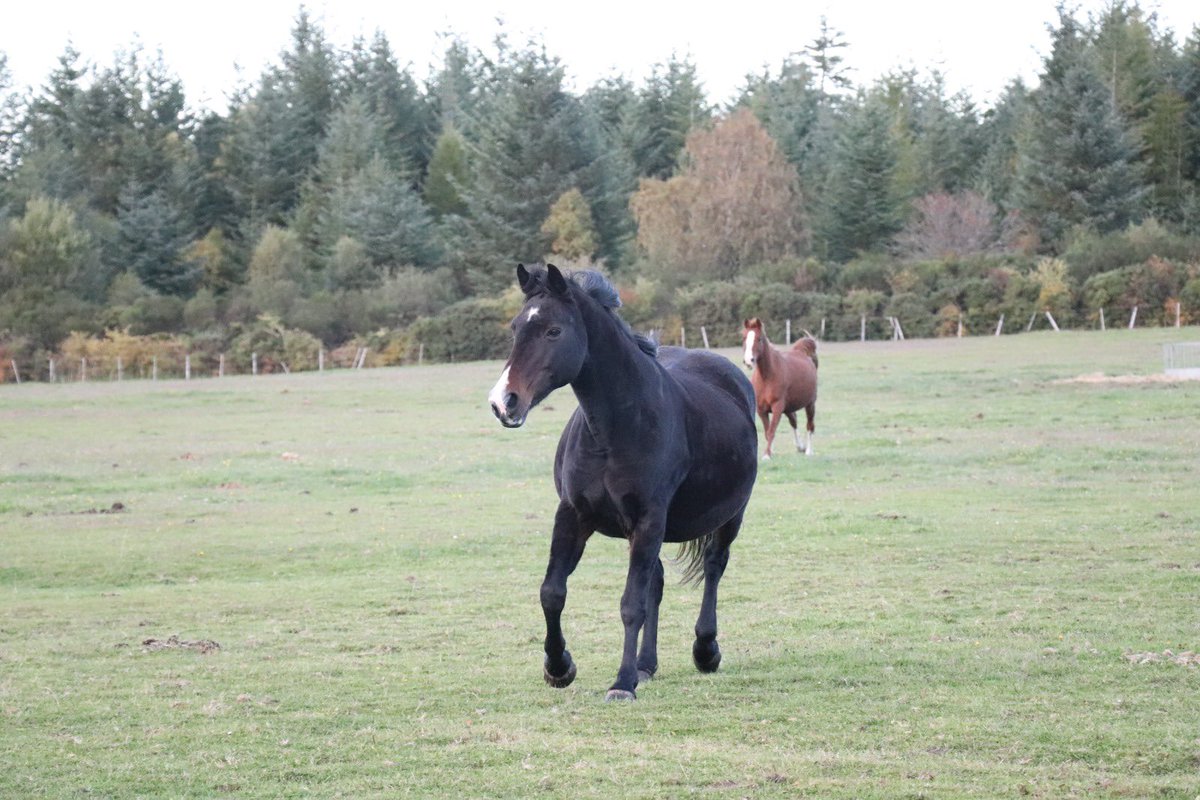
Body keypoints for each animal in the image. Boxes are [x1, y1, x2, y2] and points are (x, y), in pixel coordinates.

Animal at [489, 264, 758, 701]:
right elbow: (552, 592)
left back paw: (705, 650)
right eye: (516, 328)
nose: (503, 402)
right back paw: (647, 664)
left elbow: (631, 604)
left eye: (553, 331)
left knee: (714, 567)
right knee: (658, 582)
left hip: (730, 516)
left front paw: (622, 683)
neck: (614, 430)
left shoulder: (649, 520)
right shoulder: (573, 515)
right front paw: (559, 667)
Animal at [741, 317, 819, 459]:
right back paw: (800, 447)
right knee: (794, 421)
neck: (767, 377)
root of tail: (802, 352)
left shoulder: (777, 407)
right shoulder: (761, 410)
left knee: (810, 425)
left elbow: (771, 431)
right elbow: (767, 432)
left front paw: (767, 455)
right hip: (789, 407)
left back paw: (808, 451)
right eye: (744, 338)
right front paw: (770, 452)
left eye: (759, 339)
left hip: (810, 404)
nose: (748, 361)